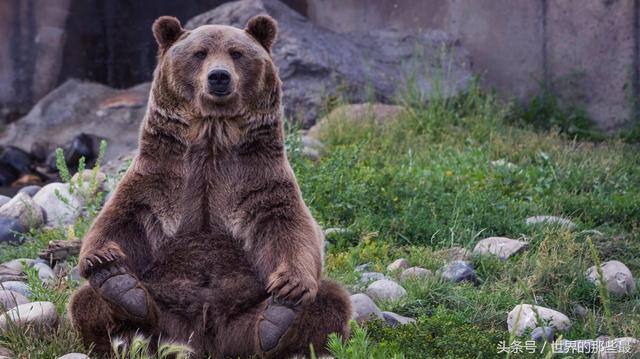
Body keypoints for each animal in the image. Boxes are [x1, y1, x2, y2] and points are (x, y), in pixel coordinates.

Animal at [67, 14, 352, 359]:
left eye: (237, 53)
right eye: (200, 53)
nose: (219, 77)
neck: (212, 137)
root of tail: (205, 342)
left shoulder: (259, 180)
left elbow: (288, 227)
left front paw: (291, 285)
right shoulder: (160, 176)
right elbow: (123, 219)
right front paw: (102, 260)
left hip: (241, 319)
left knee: (331, 300)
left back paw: (276, 322)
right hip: (167, 316)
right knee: (86, 301)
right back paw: (120, 288)